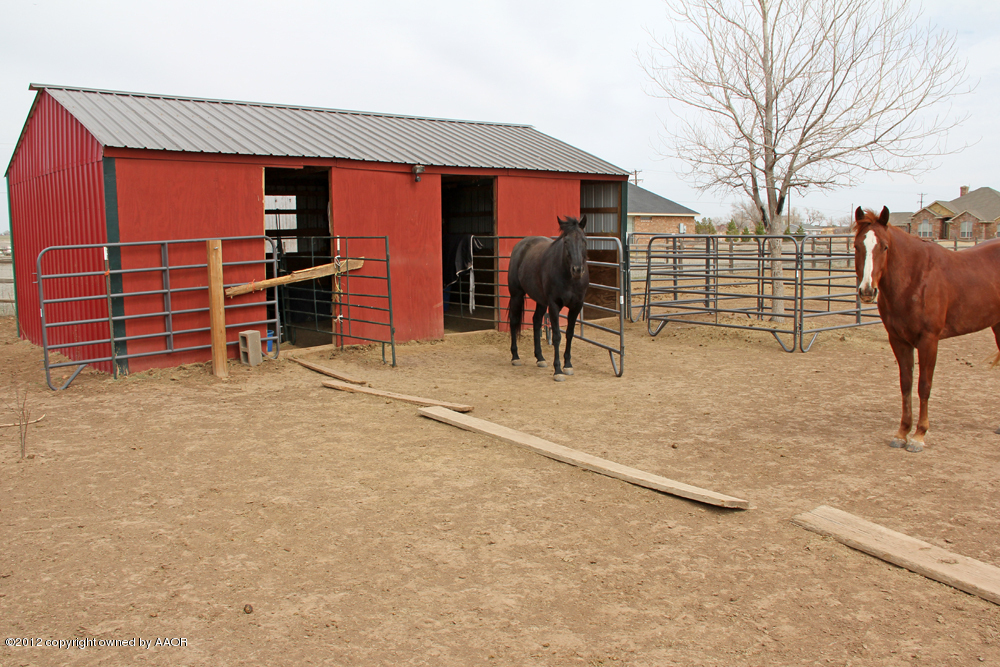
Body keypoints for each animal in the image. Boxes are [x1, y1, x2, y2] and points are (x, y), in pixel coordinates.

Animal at [507, 215, 589, 381]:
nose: (577, 270)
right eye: (566, 241)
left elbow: (570, 334)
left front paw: (568, 365)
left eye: (583, 240)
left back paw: (540, 358)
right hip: (516, 295)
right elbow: (557, 336)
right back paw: (515, 357)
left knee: (536, 321)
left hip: (540, 301)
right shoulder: (554, 305)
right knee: (514, 321)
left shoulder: (576, 305)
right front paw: (558, 370)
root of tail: (521, 245)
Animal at [854, 206, 1000, 452]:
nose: (867, 291)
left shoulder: (929, 341)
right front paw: (902, 432)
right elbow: (906, 384)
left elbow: (924, 385)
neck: (915, 279)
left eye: (885, 246)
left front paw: (919, 435)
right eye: (857, 246)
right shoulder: (899, 340)